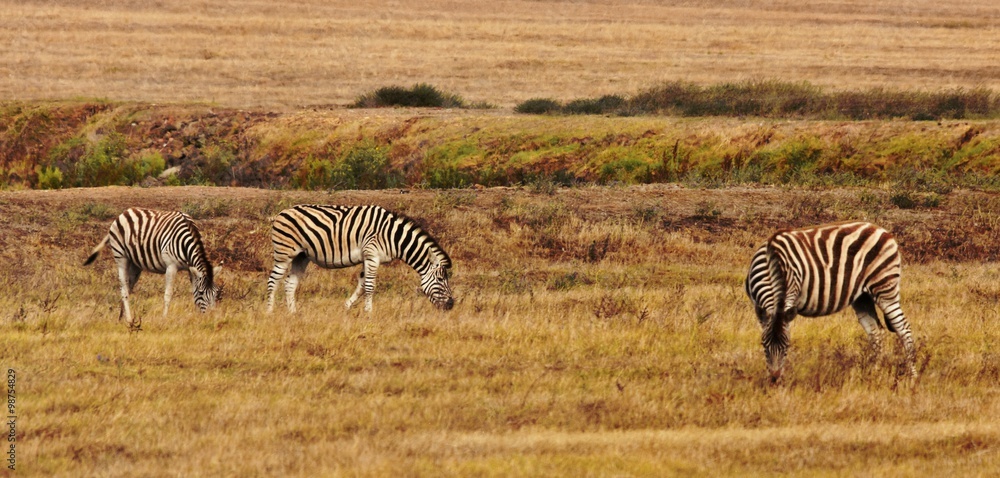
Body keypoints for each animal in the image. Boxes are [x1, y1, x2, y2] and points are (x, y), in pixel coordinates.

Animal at [84, 207, 223, 326]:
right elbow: (168, 294)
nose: (211, 318)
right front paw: (164, 319)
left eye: (216, 293)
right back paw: (129, 320)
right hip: (121, 257)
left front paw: (196, 317)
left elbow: (193, 292)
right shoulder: (171, 266)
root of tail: (124, 212)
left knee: (128, 287)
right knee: (123, 290)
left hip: (135, 264)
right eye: (202, 292)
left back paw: (121, 318)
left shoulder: (191, 269)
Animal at [266, 204, 454, 313]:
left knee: (290, 283)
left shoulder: (367, 257)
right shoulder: (372, 255)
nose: (451, 305)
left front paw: (346, 307)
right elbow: (370, 286)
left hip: (301, 256)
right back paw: (269, 312)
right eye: (440, 279)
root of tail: (281, 212)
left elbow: (362, 285)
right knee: (273, 280)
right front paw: (368, 313)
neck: (393, 237)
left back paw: (293, 313)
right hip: (284, 253)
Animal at [744, 221, 917, 380]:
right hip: (862, 297)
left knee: (903, 328)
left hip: (885, 287)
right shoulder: (759, 306)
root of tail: (880, 229)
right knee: (875, 331)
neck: (772, 262)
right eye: (763, 345)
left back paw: (912, 375)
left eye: (787, 346)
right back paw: (874, 371)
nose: (774, 378)